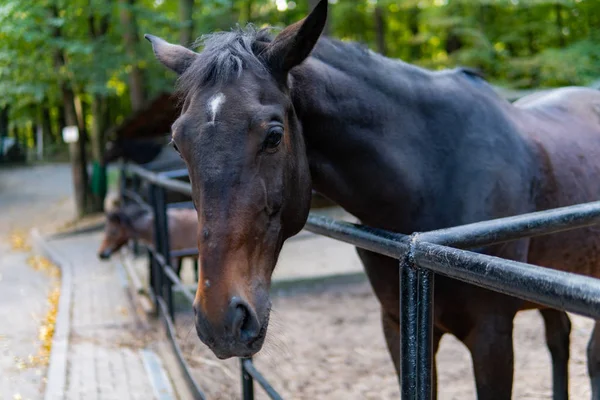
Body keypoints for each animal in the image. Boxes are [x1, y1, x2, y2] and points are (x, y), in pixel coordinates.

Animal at [144, 1, 600, 398]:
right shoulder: (399, 327)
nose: (220, 320)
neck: (433, 178)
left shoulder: (492, 336)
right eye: (178, 143)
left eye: (274, 135)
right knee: (561, 339)